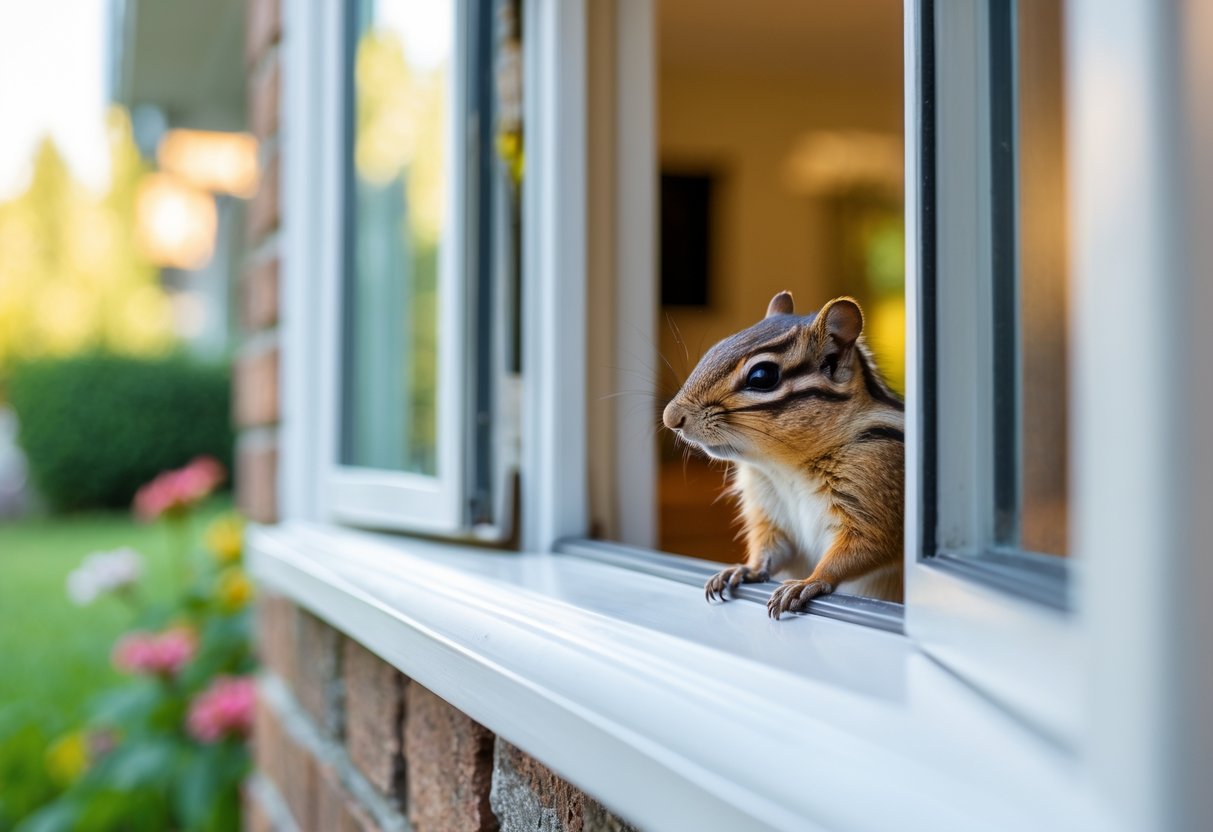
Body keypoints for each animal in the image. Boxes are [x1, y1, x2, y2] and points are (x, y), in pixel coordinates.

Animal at [661, 292, 905, 617]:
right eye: (714, 349)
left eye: (762, 376)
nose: (670, 418)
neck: (786, 468)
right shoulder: (769, 508)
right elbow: (771, 550)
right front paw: (743, 569)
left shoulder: (875, 489)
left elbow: (864, 547)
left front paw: (808, 582)